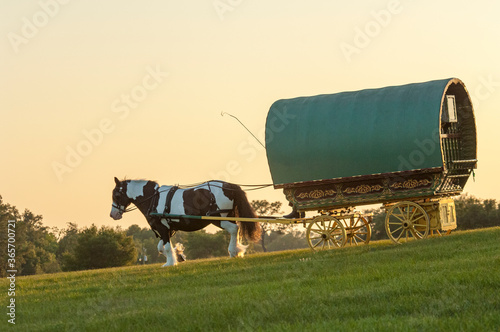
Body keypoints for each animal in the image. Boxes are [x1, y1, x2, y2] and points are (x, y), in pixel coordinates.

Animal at [109, 178, 262, 266]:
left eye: (116, 195)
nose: (113, 214)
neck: (153, 198)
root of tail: (229, 186)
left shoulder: (162, 227)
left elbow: (166, 247)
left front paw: (170, 263)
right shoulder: (167, 229)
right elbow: (160, 248)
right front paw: (179, 255)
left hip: (218, 219)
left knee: (234, 229)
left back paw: (233, 251)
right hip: (227, 216)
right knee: (237, 230)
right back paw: (237, 250)